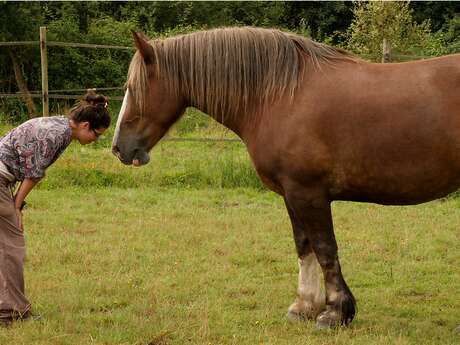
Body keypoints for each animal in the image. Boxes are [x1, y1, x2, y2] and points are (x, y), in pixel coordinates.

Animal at [112, 26, 460, 328]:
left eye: (135, 88)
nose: (119, 148)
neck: (279, 97)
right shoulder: (292, 194)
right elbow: (304, 246)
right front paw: (304, 306)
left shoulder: (308, 192)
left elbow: (325, 248)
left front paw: (335, 312)